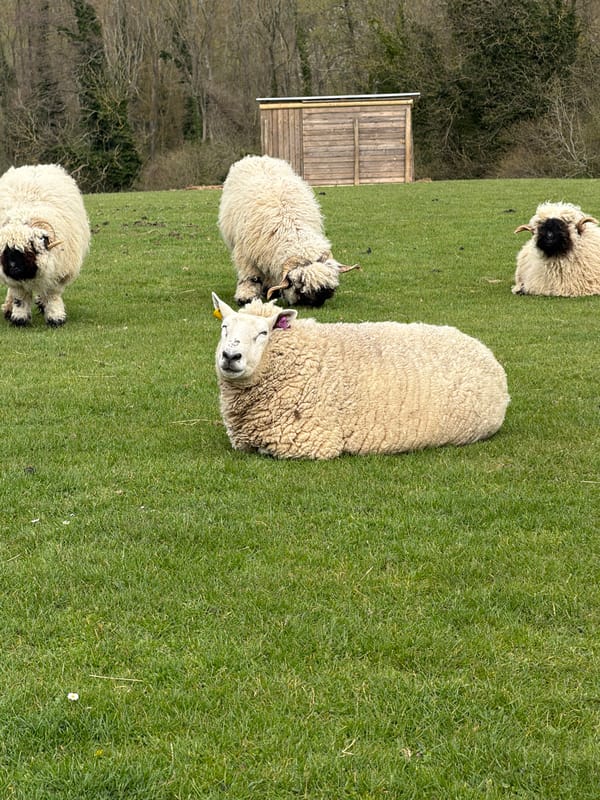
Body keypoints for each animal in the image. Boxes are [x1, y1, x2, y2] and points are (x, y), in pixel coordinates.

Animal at [0, 163, 90, 326]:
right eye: (5, 251)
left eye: (29, 249)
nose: (13, 267)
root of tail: (34, 166)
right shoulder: (13, 279)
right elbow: (20, 297)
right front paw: (19, 319)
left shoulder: (59, 274)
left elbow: (52, 295)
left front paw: (56, 318)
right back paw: (9, 309)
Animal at [217, 154, 358, 307]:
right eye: (299, 287)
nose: (316, 304)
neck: (290, 226)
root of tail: (258, 157)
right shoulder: (245, 253)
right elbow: (250, 276)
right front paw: (246, 297)